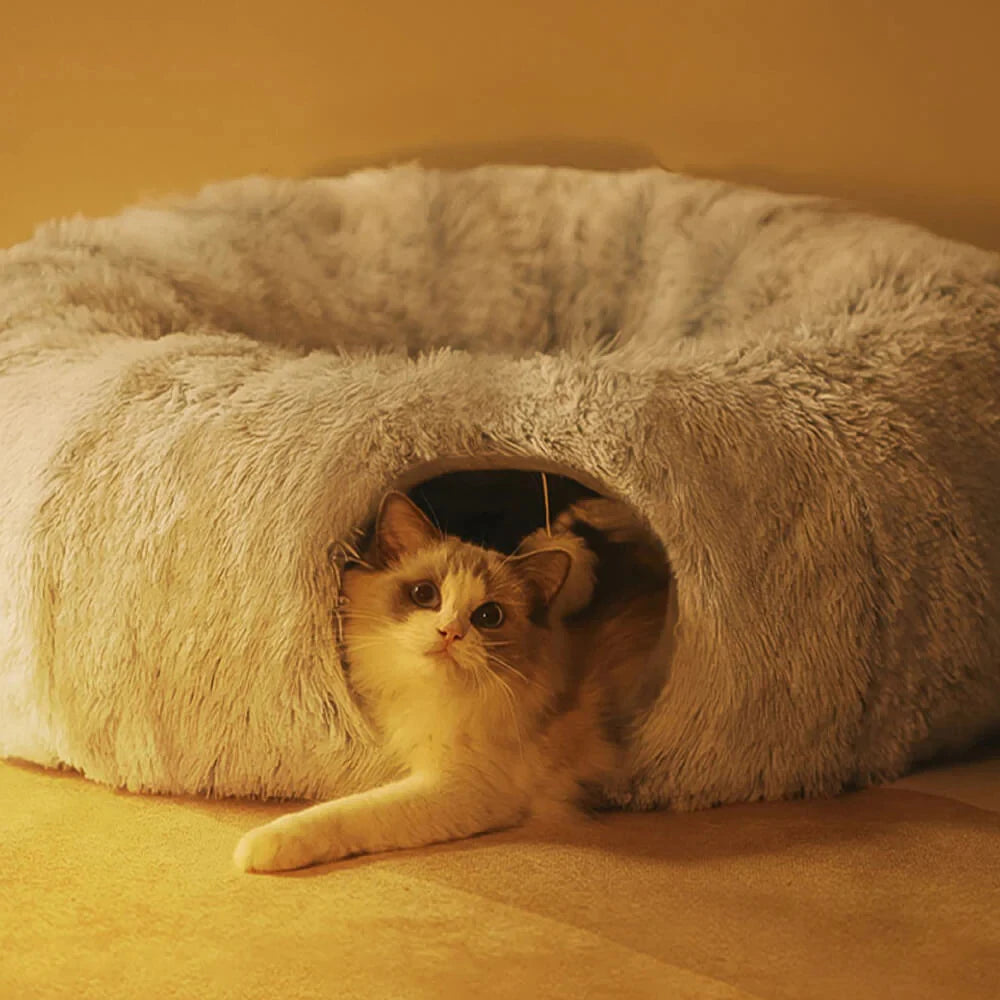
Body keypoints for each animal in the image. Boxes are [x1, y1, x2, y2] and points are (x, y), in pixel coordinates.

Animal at [234, 488, 672, 872]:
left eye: (488, 617)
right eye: (424, 594)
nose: (450, 633)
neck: (428, 695)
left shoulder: (460, 786)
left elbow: (349, 812)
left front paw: (261, 846)